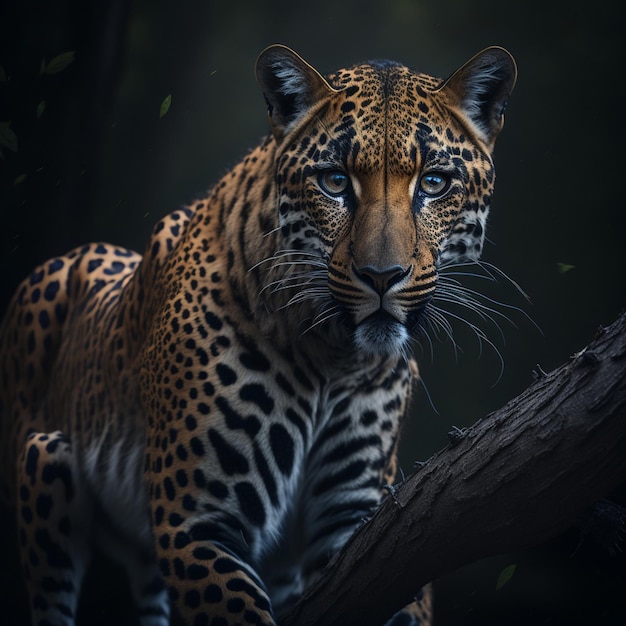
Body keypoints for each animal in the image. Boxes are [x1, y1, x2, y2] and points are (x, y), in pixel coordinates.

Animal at [0, 45, 516, 624]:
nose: (382, 276)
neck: (334, 353)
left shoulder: (358, 514)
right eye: (335, 182)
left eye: (433, 183)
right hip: (43, 464)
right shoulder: (196, 521)